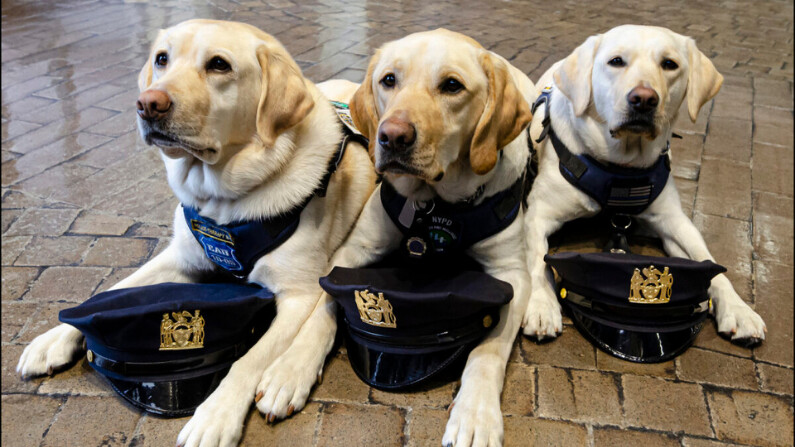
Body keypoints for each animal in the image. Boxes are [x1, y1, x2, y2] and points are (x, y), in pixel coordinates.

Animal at [15, 19, 376, 446]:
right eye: (161, 59)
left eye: (219, 64)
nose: (148, 103)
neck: (224, 203)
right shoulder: (180, 257)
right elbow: (110, 291)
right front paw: (53, 337)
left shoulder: (297, 294)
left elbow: (249, 359)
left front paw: (215, 416)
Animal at [318, 29, 536, 447]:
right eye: (388, 80)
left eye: (452, 86)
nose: (391, 136)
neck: (435, 205)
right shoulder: (351, 250)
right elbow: (323, 306)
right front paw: (289, 370)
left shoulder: (511, 275)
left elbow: (489, 348)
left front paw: (475, 414)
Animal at [524, 25, 764, 344]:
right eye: (616, 61)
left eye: (669, 64)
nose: (644, 99)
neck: (621, 168)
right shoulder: (537, 214)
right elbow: (538, 262)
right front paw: (541, 305)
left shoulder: (674, 221)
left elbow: (708, 263)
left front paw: (739, 309)